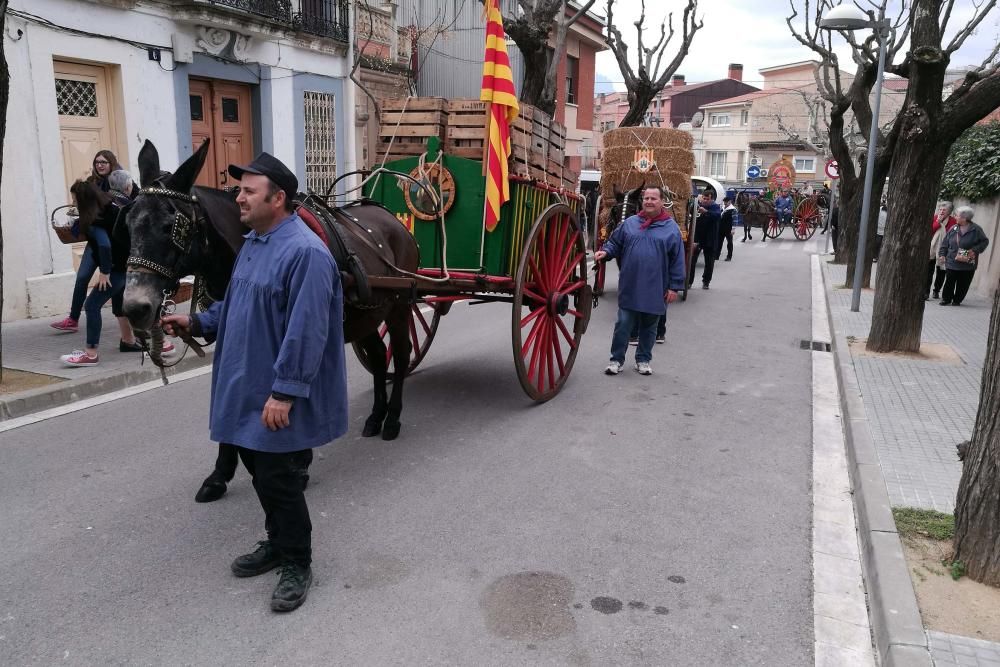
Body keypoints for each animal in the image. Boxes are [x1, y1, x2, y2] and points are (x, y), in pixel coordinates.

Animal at [120, 140, 418, 444]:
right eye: (128, 222)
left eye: (172, 226)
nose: (134, 306)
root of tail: (392, 220)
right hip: (366, 316)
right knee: (380, 356)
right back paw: (376, 417)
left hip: (399, 306)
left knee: (401, 354)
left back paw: (392, 418)